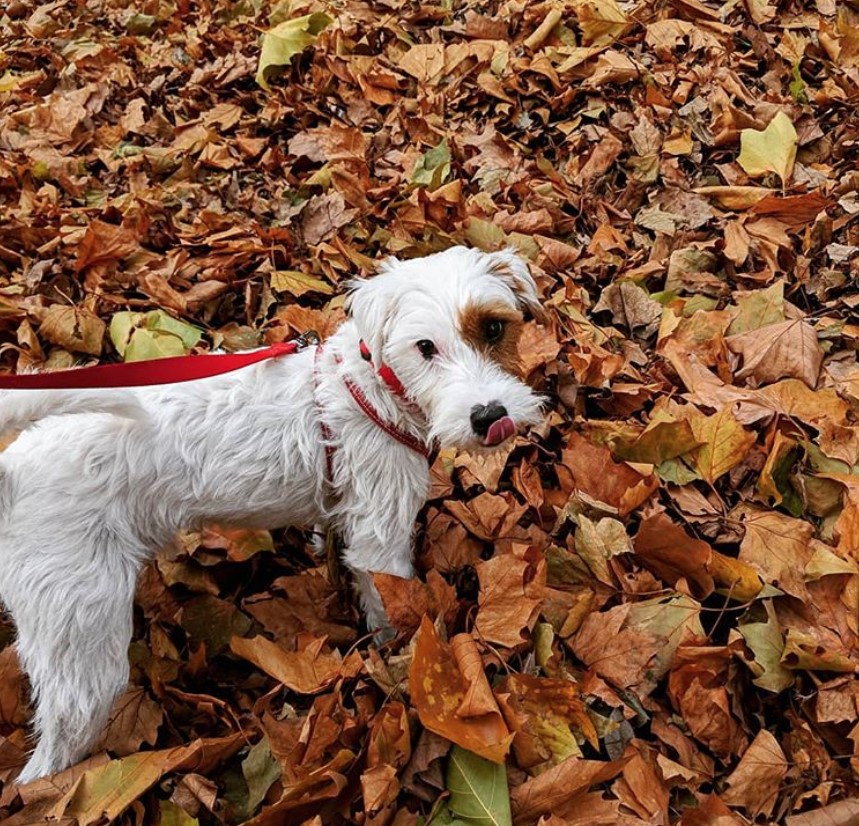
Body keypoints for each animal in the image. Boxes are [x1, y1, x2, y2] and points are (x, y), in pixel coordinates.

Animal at [0, 245, 548, 780]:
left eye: (493, 328)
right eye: (425, 347)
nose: (490, 416)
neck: (373, 387)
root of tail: (11, 471)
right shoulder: (381, 534)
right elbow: (389, 603)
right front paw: (399, 657)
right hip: (81, 628)